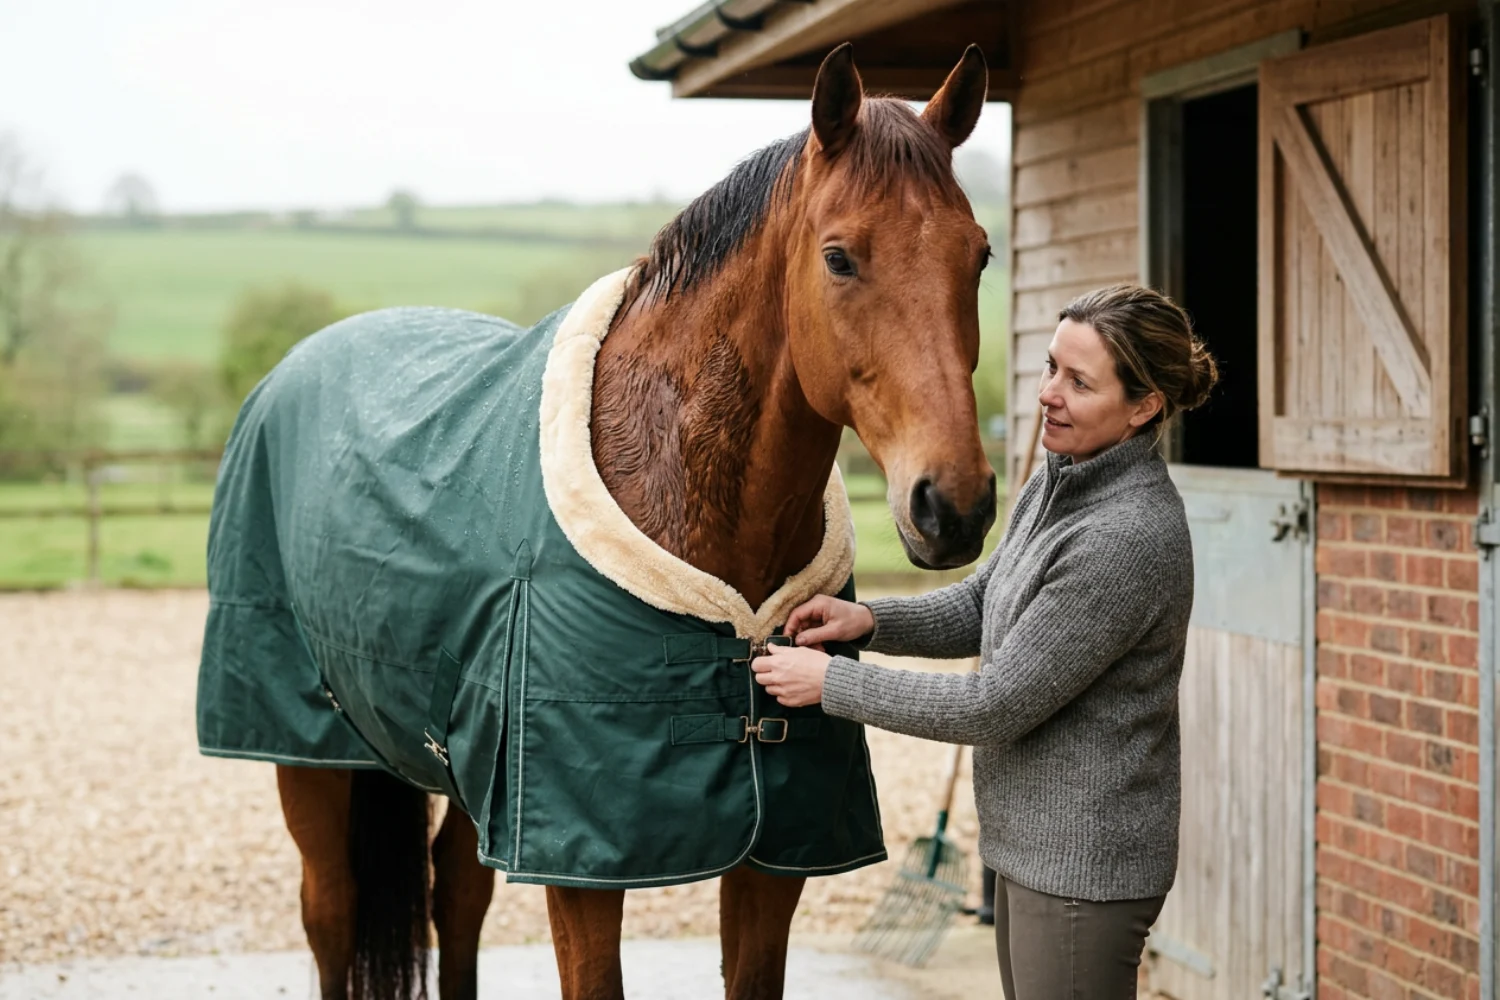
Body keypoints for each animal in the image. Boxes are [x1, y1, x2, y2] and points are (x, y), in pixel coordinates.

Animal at [249, 43, 994, 1000]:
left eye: (979, 256)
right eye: (839, 258)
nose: (955, 505)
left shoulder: (774, 856)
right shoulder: (578, 866)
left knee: (456, 896)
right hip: (306, 756)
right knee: (332, 913)